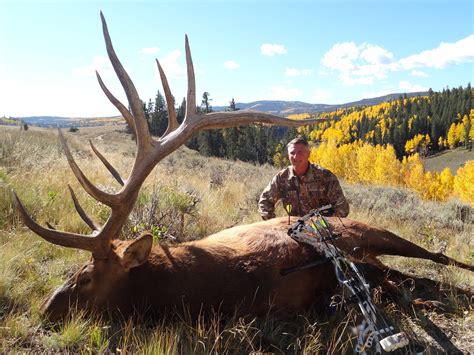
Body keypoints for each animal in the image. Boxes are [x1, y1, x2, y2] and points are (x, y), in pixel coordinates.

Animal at [12, 13, 474, 322]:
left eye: (86, 277)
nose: (48, 307)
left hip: (367, 230)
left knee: (438, 257)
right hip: (372, 256)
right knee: (416, 279)